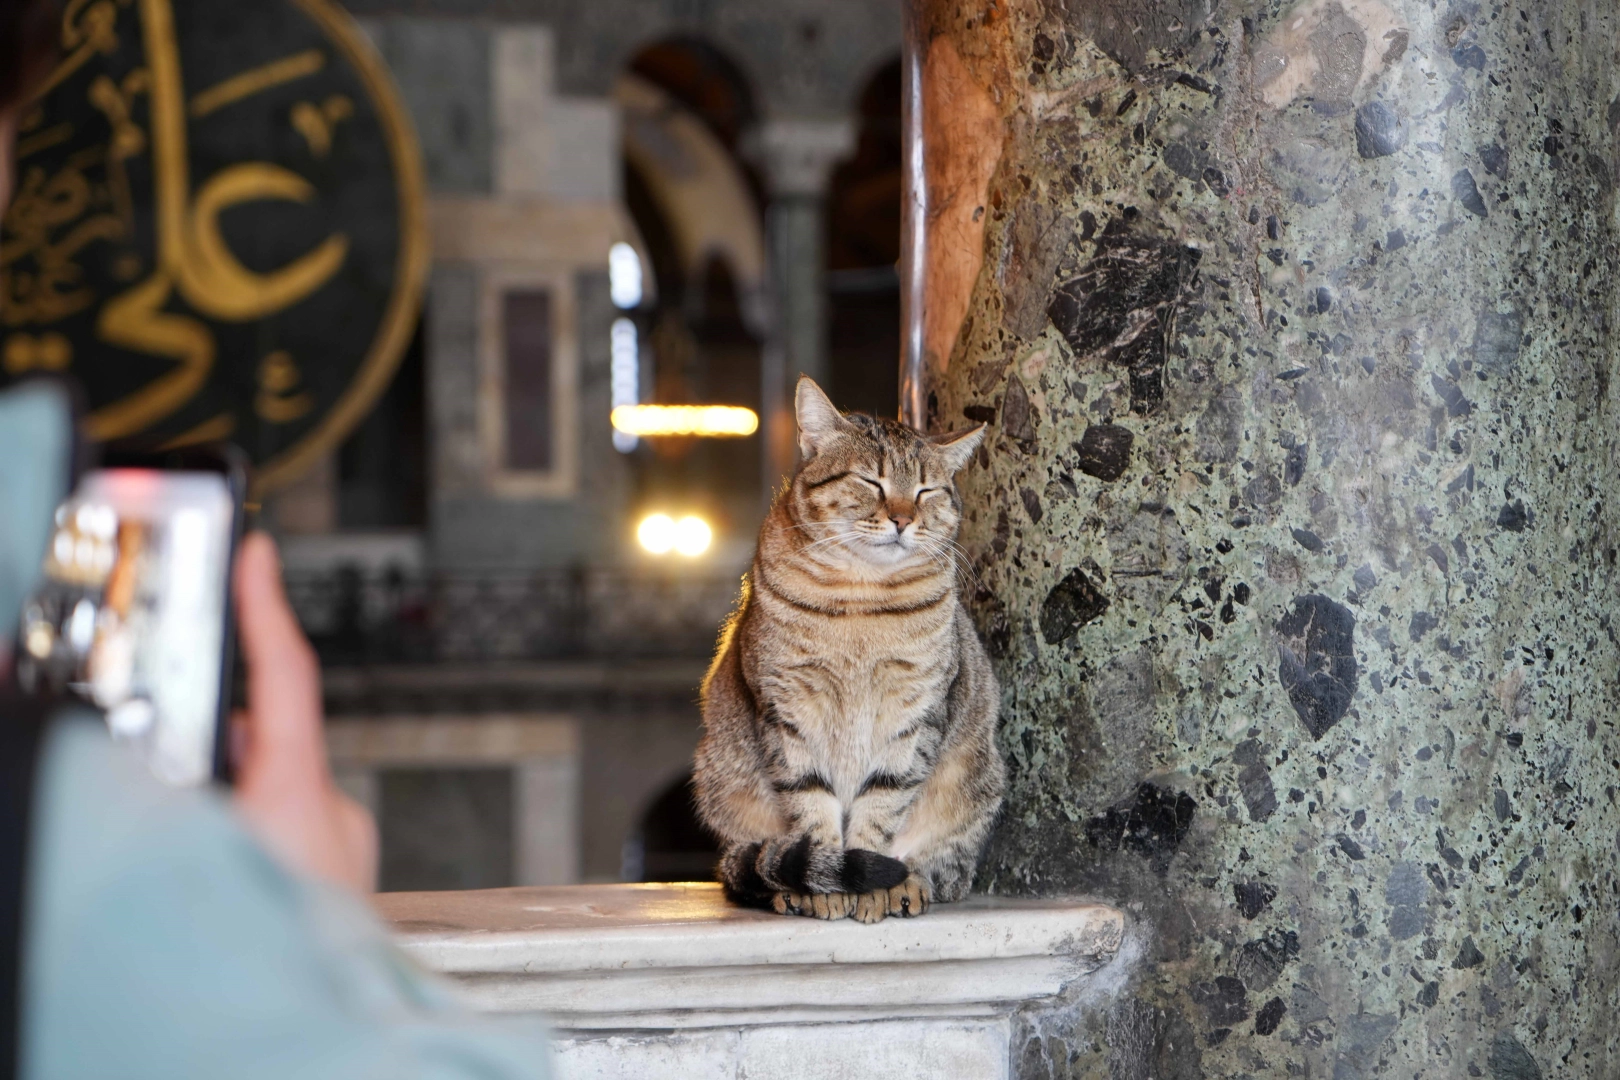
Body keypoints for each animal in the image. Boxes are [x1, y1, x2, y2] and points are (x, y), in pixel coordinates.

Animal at [693, 378, 997, 919]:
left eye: (926, 490)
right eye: (871, 482)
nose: (902, 518)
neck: (861, 595)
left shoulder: (914, 711)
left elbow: (883, 804)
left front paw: (871, 885)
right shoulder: (787, 707)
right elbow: (811, 804)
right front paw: (827, 883)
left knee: (944, 868)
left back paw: (907, 882)